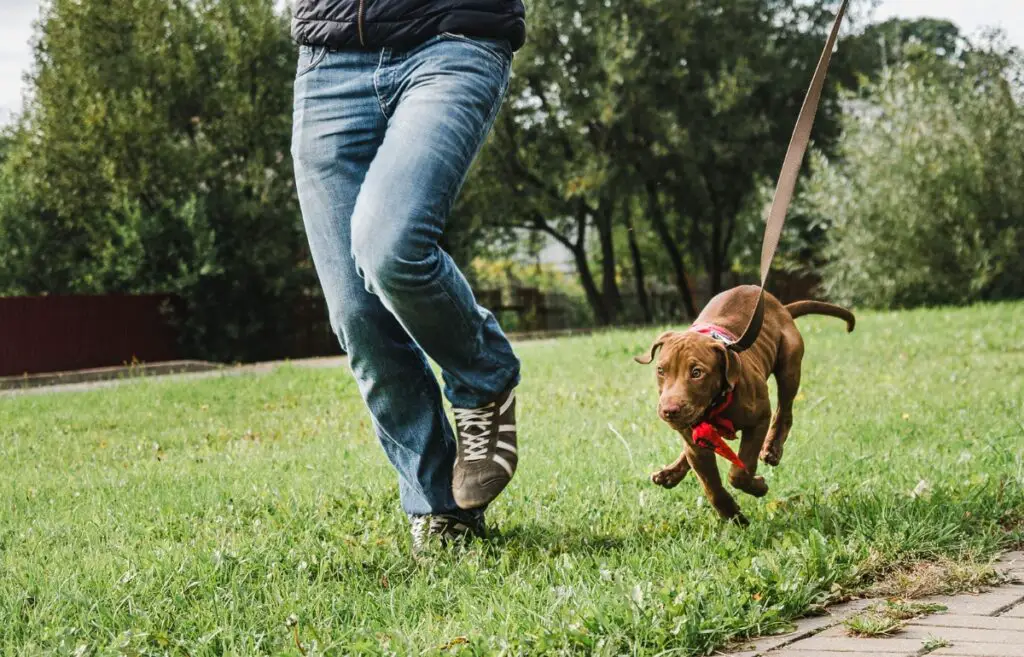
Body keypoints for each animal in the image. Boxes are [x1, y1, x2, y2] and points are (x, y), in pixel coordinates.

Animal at [638, 284, 847, 523]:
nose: (669, 411)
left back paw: (773, 448)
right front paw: (732, 515)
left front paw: (758, 487)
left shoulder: (758, 420)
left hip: (789, 366)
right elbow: (711, 487)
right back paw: (670, 474)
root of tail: (780, 307)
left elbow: (740, 471)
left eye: (697, 373)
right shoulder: (695, 444)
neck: (715, 406)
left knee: (784, 411)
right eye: (661, 371)